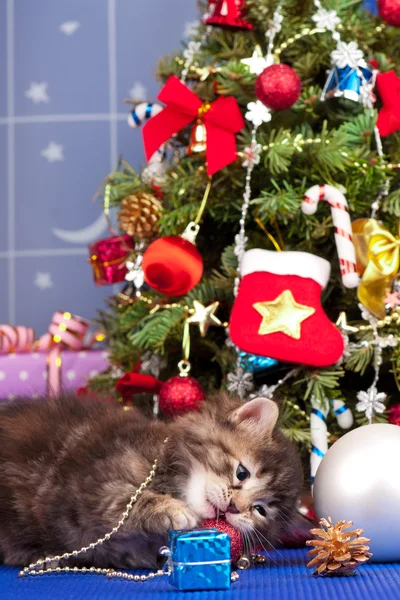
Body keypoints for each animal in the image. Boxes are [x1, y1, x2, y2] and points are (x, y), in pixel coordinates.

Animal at [0, 394, 300, 568]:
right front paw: (172, 509)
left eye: (260, 510)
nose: (235, 508)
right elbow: (124, 502)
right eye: (242, 473)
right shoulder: (87, 485)